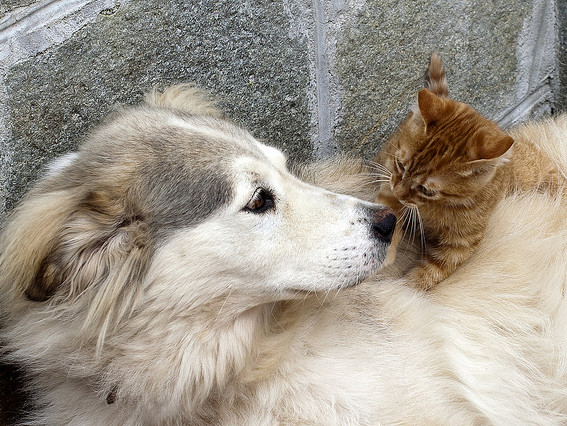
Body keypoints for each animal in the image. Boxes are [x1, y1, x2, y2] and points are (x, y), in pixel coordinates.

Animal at [374, 53, 564, 290]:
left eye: (427, 190)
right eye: (400, 165)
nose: (399, 192)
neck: (436, 209)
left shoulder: (459, 246)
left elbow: (429, 274)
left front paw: (405, 289)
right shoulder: (389, 184)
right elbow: (389, 214)